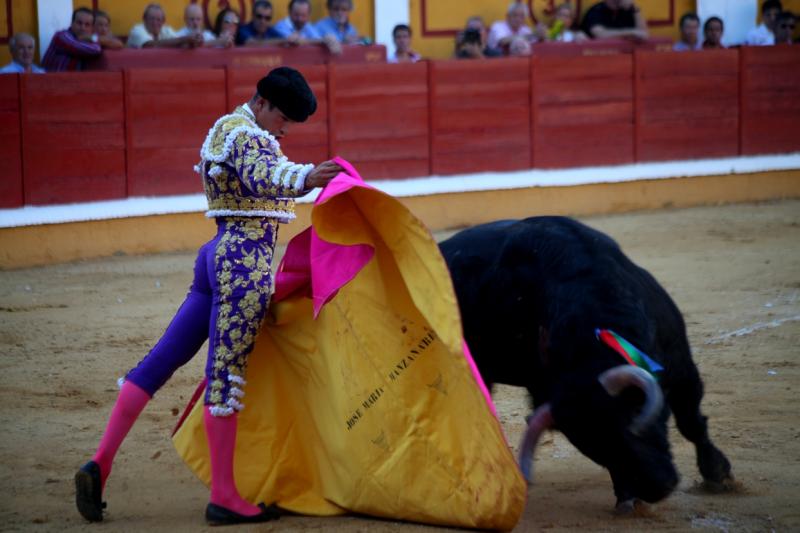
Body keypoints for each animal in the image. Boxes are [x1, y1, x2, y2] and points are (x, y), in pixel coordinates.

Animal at [440, 217, 736, 512]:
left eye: (631, 420)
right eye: (596, 448)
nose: (656, 488)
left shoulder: (681, 367)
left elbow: (691, 421)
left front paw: (717, 473)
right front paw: (626, 496)